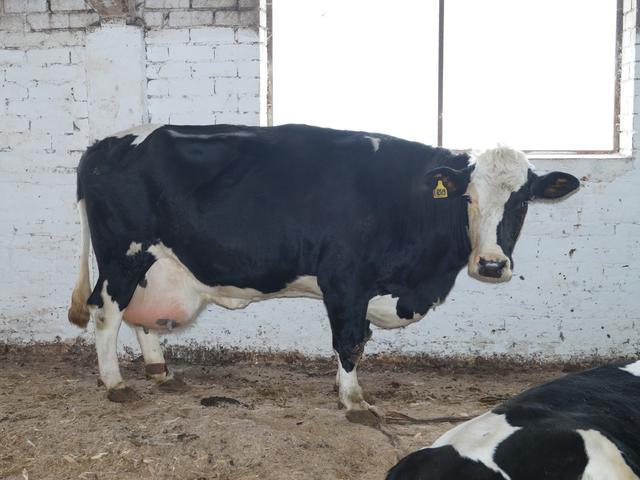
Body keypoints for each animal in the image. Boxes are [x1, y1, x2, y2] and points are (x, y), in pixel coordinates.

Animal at [67, 123, 579, 417]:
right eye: (467, 198)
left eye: (522, 200)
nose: (490, 264)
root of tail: (107, 144)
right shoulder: (346, 280)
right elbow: (350, 340)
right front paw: (353, 401)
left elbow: (354, 341)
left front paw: (343, 389)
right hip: (122, 253)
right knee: (106, 312)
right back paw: (115, 383)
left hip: (155, 262)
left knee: (141, 317)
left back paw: (161, 372)